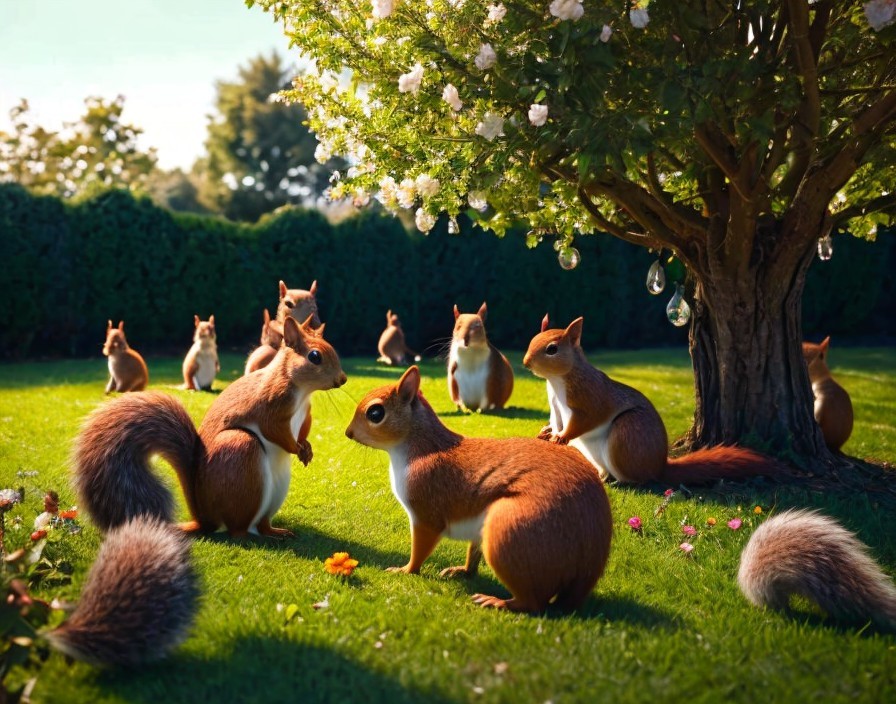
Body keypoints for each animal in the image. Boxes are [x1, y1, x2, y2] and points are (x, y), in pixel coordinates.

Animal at [73, 316, 346, 538]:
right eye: (314, 356)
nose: (342, 379)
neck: (303, 392)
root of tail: (205, 518)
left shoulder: (306, 413)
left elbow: (304, 429)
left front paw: (307, 448)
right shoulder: (270, 405)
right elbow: (274, 430)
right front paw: (297, 448)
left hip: (276, 491)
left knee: (260, 525)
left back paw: (275, 531)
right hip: (241, 451)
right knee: (238, 530)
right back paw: (252, 534)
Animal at [345, 365, 612, 613]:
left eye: (375, 413)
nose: (348, 433)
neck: (422, 446)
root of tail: (586, 567)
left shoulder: (426, 509)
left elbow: (420, 547)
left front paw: (405, 569)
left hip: (510, 528)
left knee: (533, 603)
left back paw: (497, 601)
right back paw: (462, 571)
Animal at [523, 315, 778, 485]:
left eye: (552, 349)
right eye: (532, 339)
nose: (525, 362)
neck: (557, 381)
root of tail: (659, 468)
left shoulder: (589, 397)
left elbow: (585, 419)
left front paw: (562, 436)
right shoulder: (555, 405)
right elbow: (555, 420)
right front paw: (547, 431)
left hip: (627, 433)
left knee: (635, 479)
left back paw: (621, 481)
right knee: (606, 471)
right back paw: (602, 477)